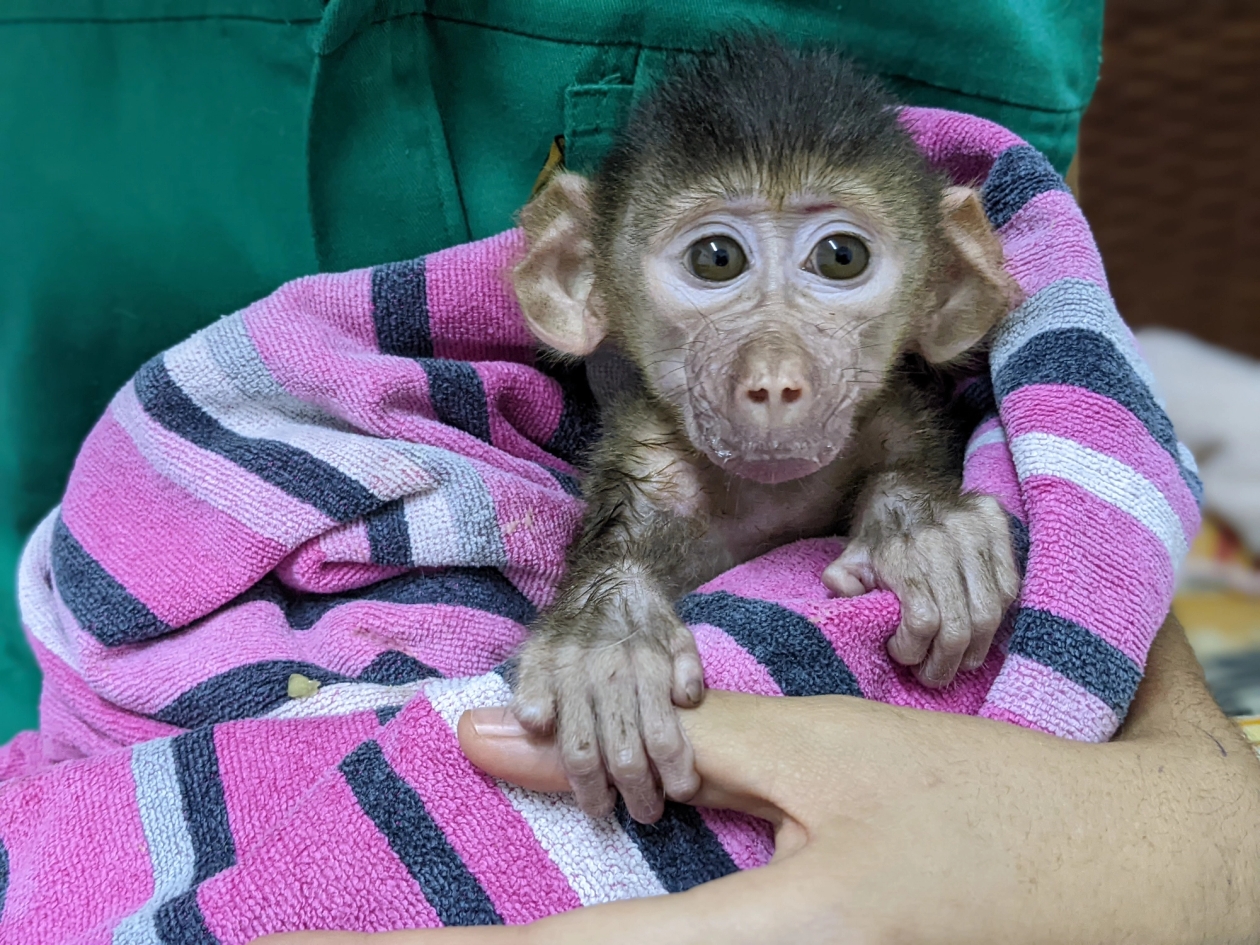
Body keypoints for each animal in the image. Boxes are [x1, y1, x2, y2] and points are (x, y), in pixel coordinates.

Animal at [509, 38, 1022, 825]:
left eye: (841, 256)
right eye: (715, 259)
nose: (776, 378)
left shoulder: (890, 418)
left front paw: (930, 533)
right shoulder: (652, 462)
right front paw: (610, 639)